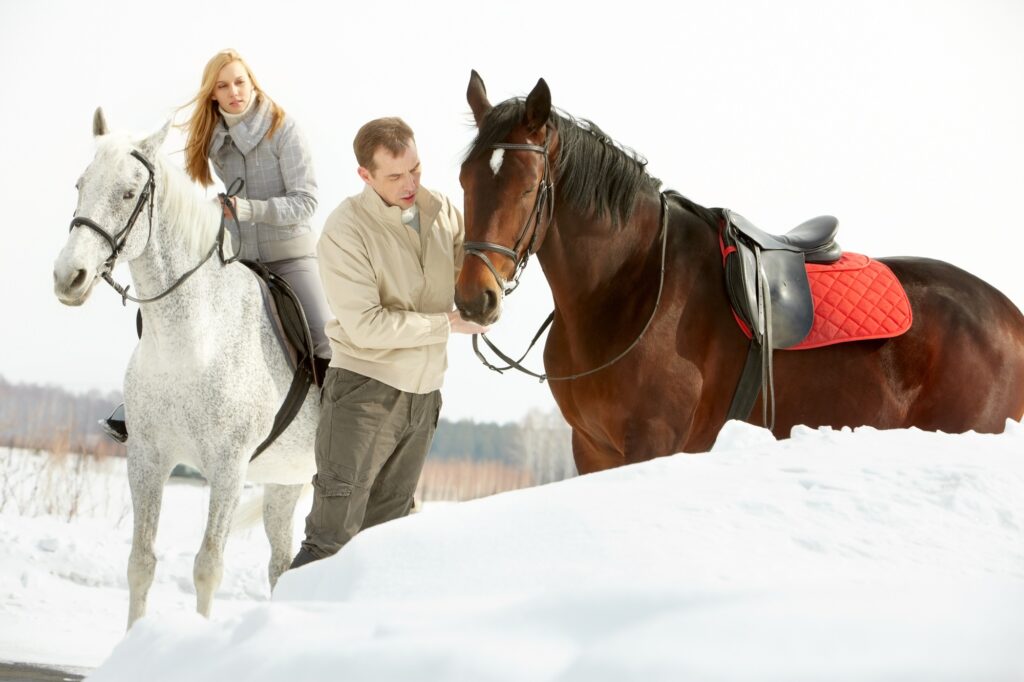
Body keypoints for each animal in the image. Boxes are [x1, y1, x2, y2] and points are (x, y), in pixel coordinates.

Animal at [50, 111, 315, 626]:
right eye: (80, 184)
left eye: (129, 193)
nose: (68, 277)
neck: (192, 341)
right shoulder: (147, 458)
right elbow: (140, 562)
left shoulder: (229, 467)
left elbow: (208, 566)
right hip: (286, 480)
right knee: (282, 563)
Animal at [456, 70, 1024, 473]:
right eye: (464, 178)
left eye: (528, 186)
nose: (473, 297)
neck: (632, 286)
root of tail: (1009, 318)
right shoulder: (593, 448)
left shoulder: (653, 443)